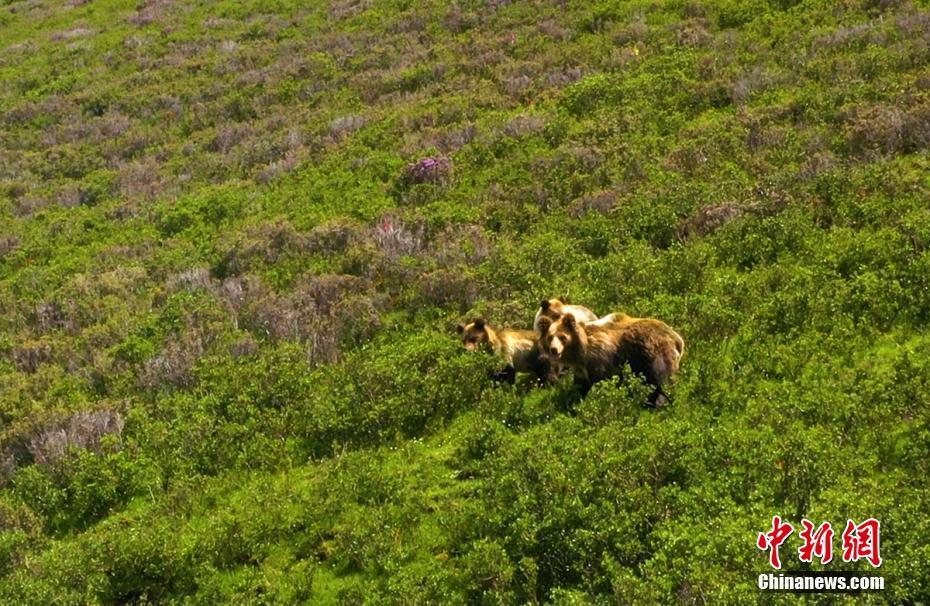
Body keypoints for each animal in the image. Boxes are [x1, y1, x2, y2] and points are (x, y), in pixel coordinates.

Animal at [536, 314, 680, 408]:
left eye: (562, 337)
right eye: (550, 337)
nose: (554, 350)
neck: (580, 353)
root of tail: (676, 337)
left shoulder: (600, 358)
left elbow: (602, 381)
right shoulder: (580, 370)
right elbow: (580, 386)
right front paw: (571, 403)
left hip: (651, 352)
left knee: (659, 378)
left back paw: (659, 401)